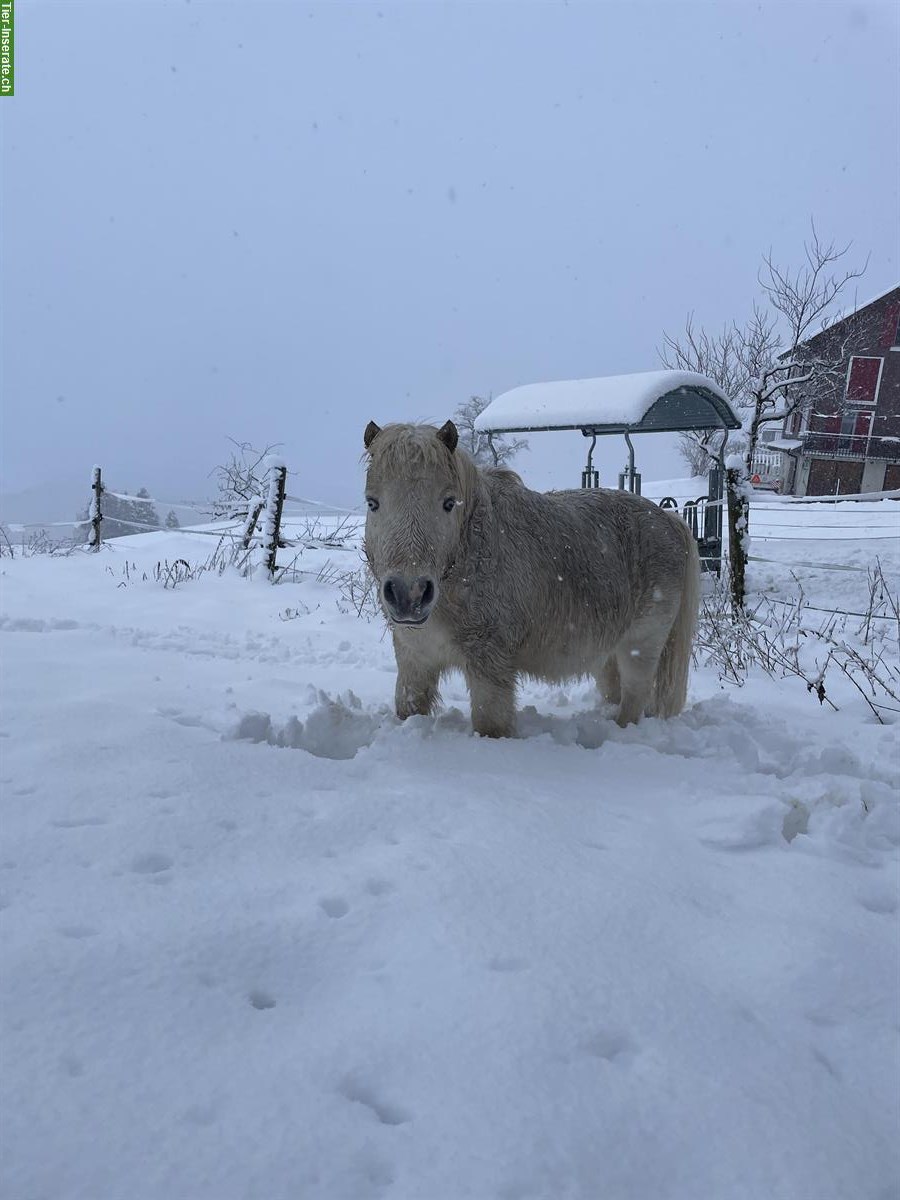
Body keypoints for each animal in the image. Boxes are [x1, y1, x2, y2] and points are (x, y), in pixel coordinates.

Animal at [362, 422, 700, 739]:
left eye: (448, 502)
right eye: (372, 503)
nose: (409, 594)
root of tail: (667, 519)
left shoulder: (490, 666)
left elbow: (491, 724)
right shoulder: (415, 662)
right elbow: (408, 707)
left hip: (641, 645)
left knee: (634, 698)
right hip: (610, 652)